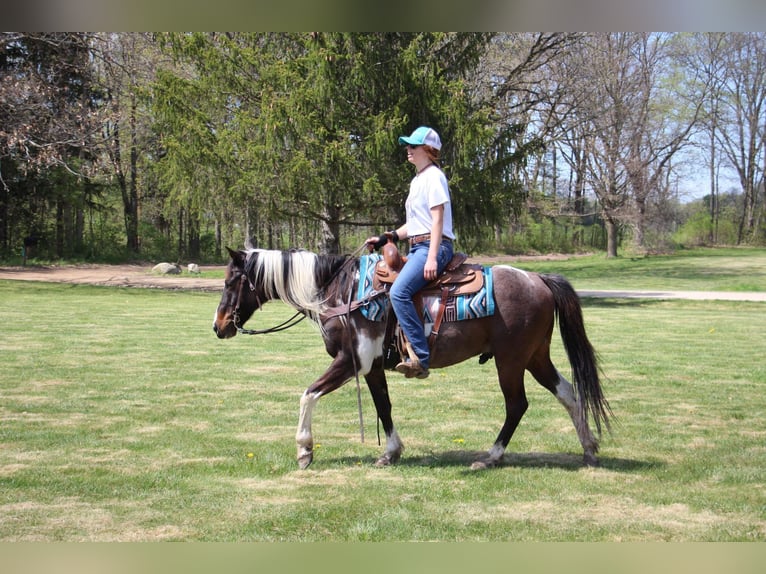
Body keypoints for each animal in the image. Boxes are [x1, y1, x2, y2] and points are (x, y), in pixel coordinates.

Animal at [213, 245, 616, 470]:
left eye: (231, 282)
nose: (219, 326)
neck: (340, 293)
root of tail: (538, 279)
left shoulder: (349, 361)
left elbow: (308, 394)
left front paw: (304, 450)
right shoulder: (372, 367)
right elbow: (383, 407)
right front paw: (390, 453)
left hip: (511, 361)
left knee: (517, 404)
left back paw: (491, 457)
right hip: (535, 357)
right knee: (568, 394)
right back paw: (589, 450)